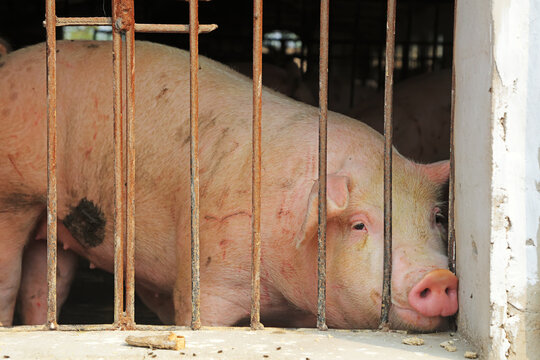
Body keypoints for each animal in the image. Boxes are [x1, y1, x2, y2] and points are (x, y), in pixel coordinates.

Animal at [0, 40, 458, 330]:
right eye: (360, 223)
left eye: (437, 218)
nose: (439, 277)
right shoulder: (208, 271)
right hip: (14, 197)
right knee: (10, 278)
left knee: (46, 283)